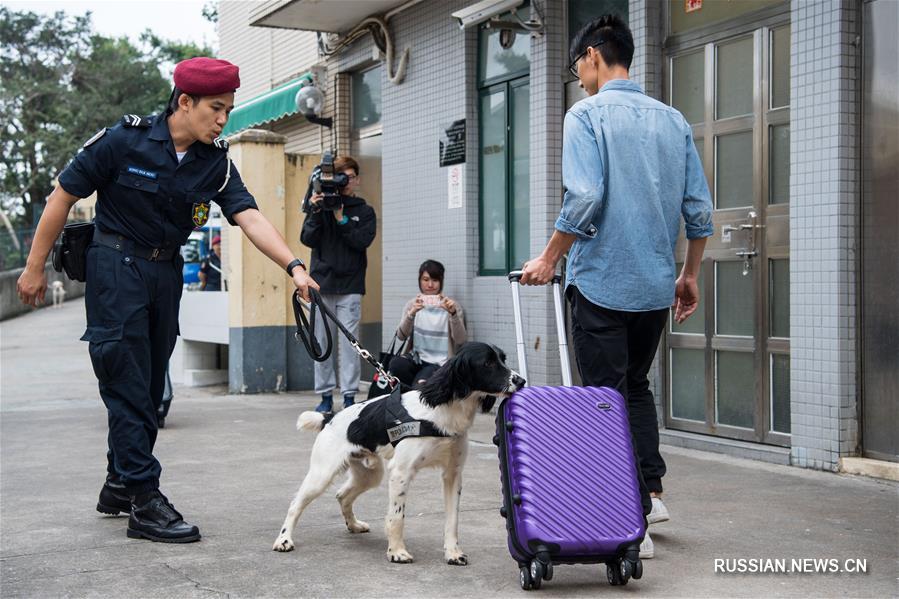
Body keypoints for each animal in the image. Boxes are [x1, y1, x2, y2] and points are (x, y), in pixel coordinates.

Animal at [276, 342, 528, 568]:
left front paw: (453, 553)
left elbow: (453, 520)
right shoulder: (401, 471)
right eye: (487, 363)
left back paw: (354, 525)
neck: (443, 410)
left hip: (370, 474)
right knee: (295, 504)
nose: (521, 381)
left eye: (503, 359)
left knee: (342, 495)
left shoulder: (453, 474)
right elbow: (397, 517)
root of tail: (330, 417)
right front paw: (397, 552)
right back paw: (284, 539)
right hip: (322, 474)